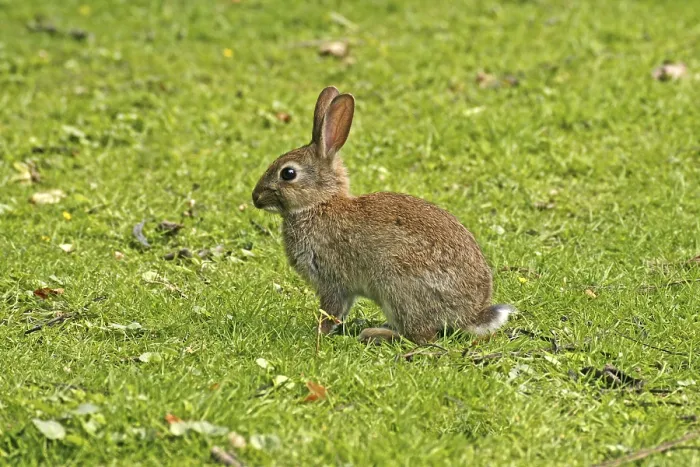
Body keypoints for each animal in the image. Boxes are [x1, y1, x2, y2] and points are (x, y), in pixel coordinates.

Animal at [252, 86, 516, 344]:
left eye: (288, 174)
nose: (255, 198)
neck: (319, 204)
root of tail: (470, 315)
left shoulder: (332, 281)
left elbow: (330, 311)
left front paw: (318, 333)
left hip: (398, 286)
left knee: (421, 337)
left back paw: (376, 334)